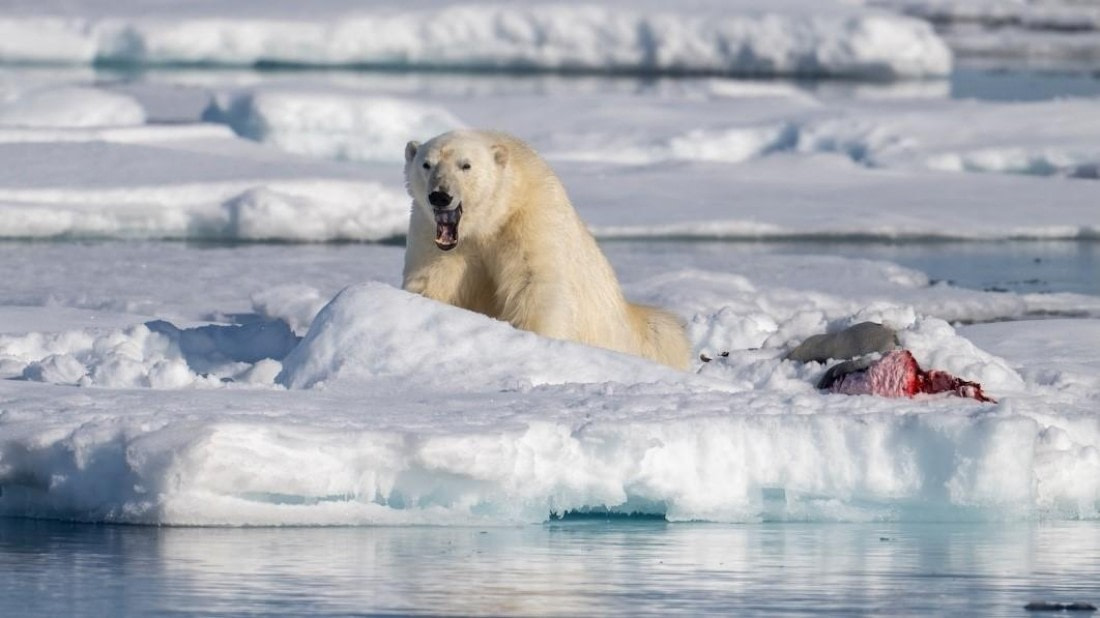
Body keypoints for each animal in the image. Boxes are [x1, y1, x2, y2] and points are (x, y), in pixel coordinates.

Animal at [402, 129, 691, 370]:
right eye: (427, 164)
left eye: (466, 165)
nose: (440, 195)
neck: (491, 219)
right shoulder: (432, 236)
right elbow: (432, 281)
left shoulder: (532, 219)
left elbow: (534, 286)